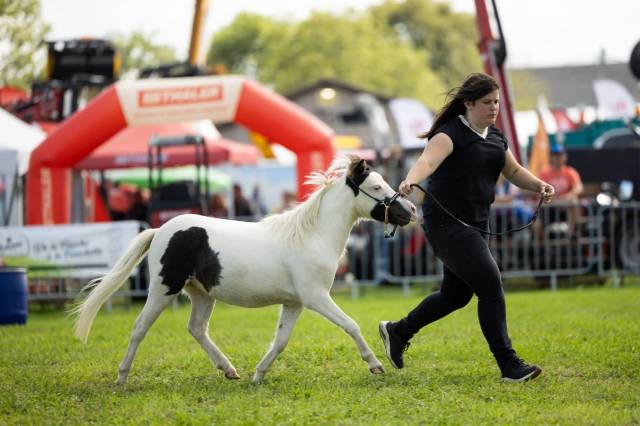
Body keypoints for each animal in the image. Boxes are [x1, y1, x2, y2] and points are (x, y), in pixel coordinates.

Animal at [73, 155, 417, 383]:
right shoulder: (316, 297)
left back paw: (229, 370)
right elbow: (351, 325)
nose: (411, 211)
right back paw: (122, 377)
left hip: (201, 294)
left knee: (196, 329)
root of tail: (160, 230)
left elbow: (281, 341)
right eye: (376, 186)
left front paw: (258, 374)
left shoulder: (295, 303)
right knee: (139, 328)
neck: (311, 236)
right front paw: (375, 364)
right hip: (163, 288)